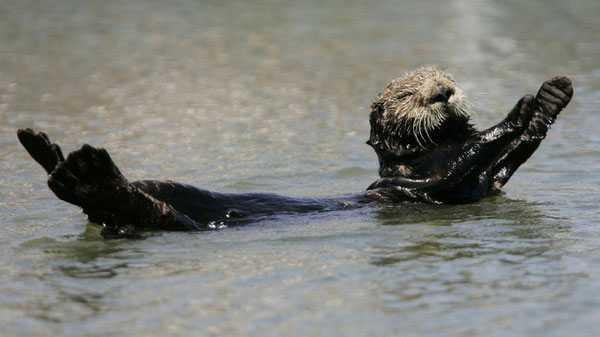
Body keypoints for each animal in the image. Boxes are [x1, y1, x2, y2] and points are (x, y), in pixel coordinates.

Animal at [17, 67, 572, 236]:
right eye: (406, 94)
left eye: (444, 78)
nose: (442, 92)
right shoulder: (421, 178)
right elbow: (470, 154)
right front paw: (521, 107)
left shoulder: (480, 186)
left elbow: (499, 163)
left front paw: (550, 97)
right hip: (169, 207)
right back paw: (68, 160)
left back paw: (57, 157)